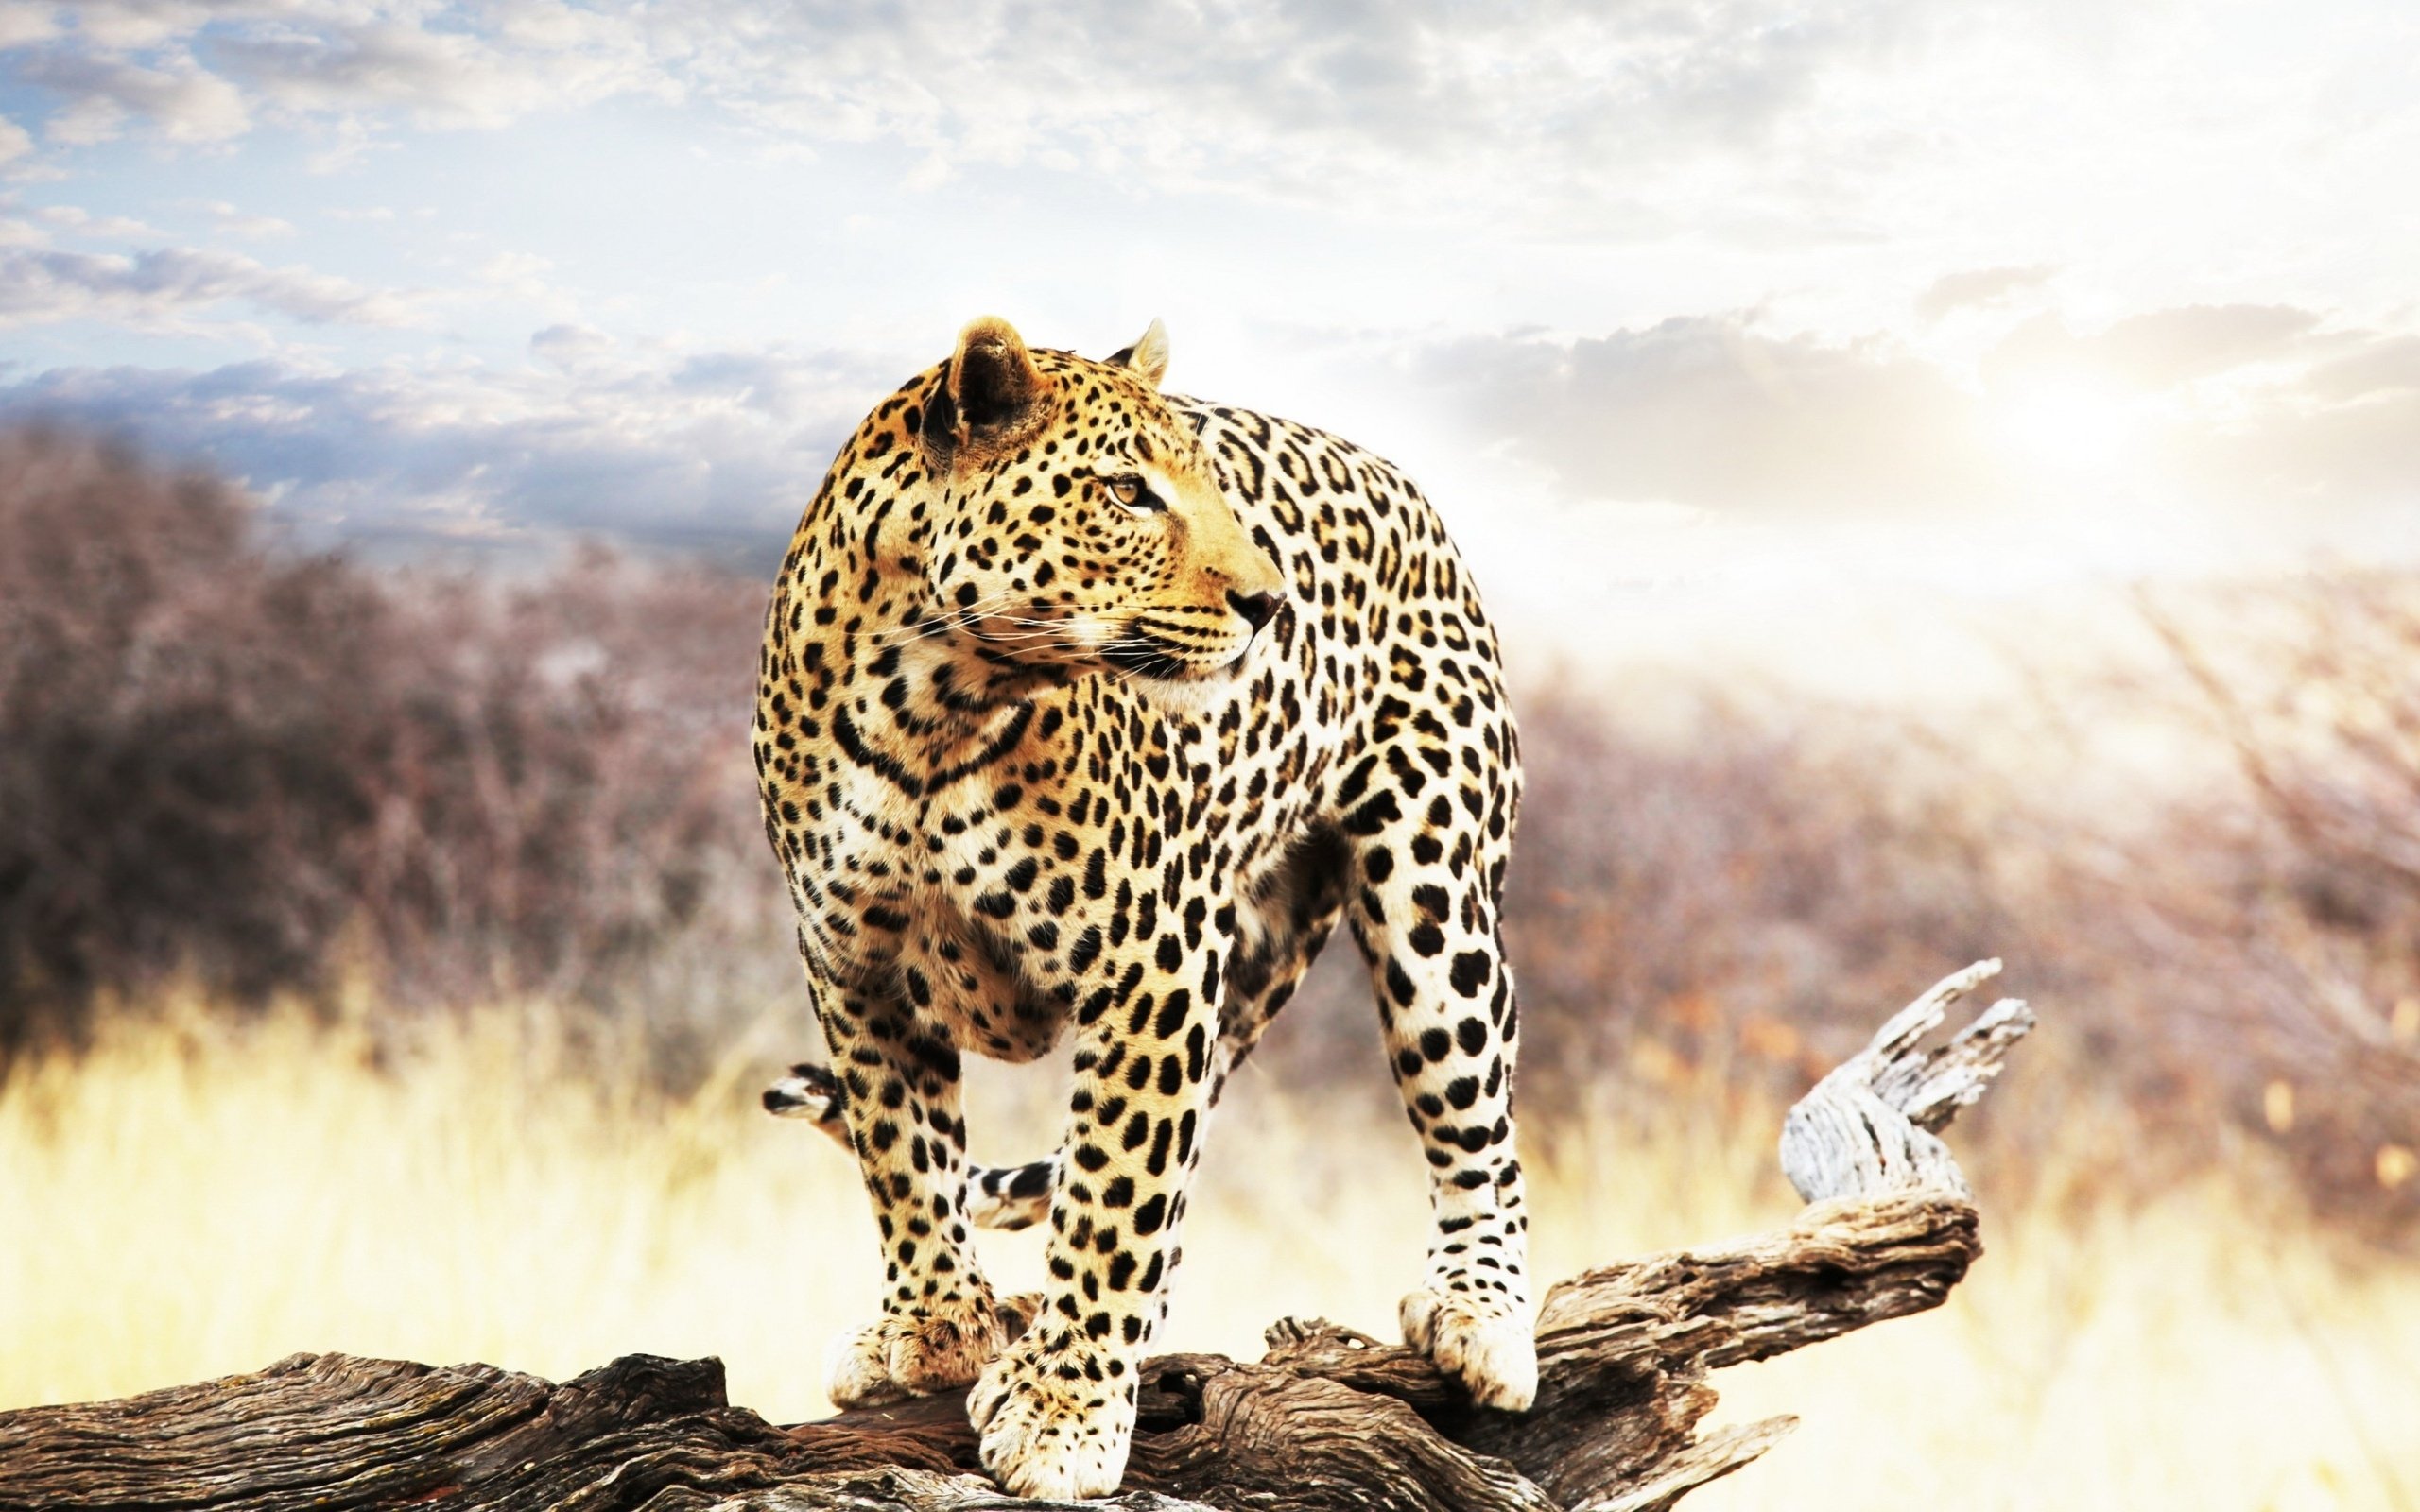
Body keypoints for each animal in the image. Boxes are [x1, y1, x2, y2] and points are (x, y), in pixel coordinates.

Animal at [751, 315, 1535, 1499]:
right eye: (1127, 492)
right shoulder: (853, 961)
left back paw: (1483, 1312)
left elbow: (1116, 1189)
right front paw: (936, 1326)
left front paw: (1062, 1413)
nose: (1269, 604)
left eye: (1207, 484)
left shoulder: (1151, 958)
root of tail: (1404, 487)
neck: (928, 706)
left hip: (1434, 893)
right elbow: (906, 1155)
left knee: (1474, 1118)